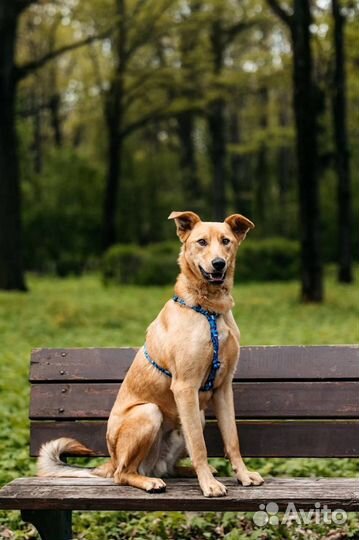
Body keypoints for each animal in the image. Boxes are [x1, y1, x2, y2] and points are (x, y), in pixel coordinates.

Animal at [38, 211, 264, 498]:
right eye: (201, 242)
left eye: (226, 241)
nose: (218, 264)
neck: (210, 309)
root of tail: (111, 460)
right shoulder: (185, 387)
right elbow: (199, 446)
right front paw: (209, 485)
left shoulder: (223, 388)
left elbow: (232, 439)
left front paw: (243, 475)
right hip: (149, 413)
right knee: (124, 474)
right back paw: (151, 482)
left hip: (194, 417)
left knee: (166, 467)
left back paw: (186, 472)